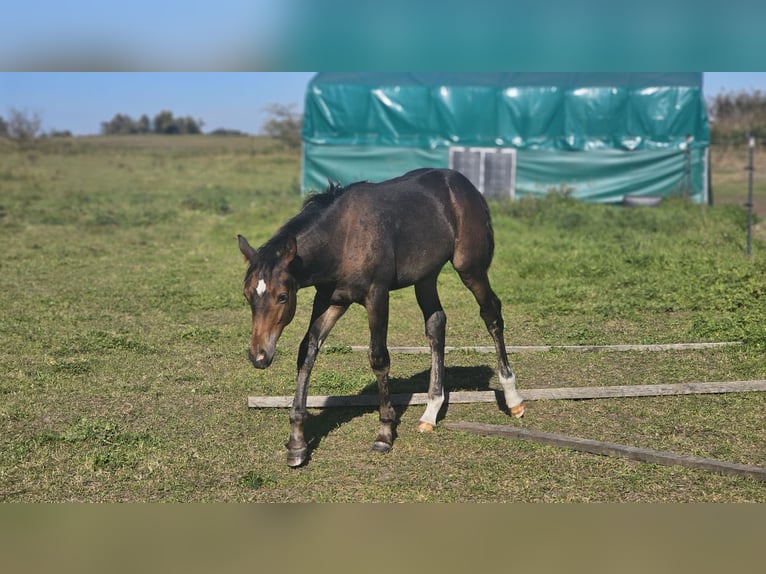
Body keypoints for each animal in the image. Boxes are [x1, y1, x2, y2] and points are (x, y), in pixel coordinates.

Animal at [238, 168, 524, 467]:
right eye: (247, 295)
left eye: (282, 296)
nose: (259, 356)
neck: (343, 238)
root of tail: (466, 187)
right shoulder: (330, 300)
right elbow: (307, 351)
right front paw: (297, 443)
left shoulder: (377, 296)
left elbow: (378, 357)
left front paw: (384, 433)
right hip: (426, 276)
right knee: (436, 324)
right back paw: (430, 411)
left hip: (470, 268)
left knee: (491, 314)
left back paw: (513, 398)